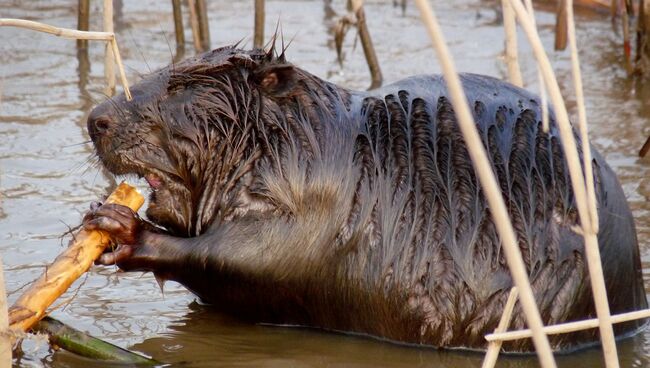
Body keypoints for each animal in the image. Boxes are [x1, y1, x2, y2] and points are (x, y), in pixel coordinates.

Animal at [83, 44, 644, 352]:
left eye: (178, 87)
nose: (96, 119)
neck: (307, 142)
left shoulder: (317, 202)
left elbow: (256, 260)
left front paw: (120, 227)